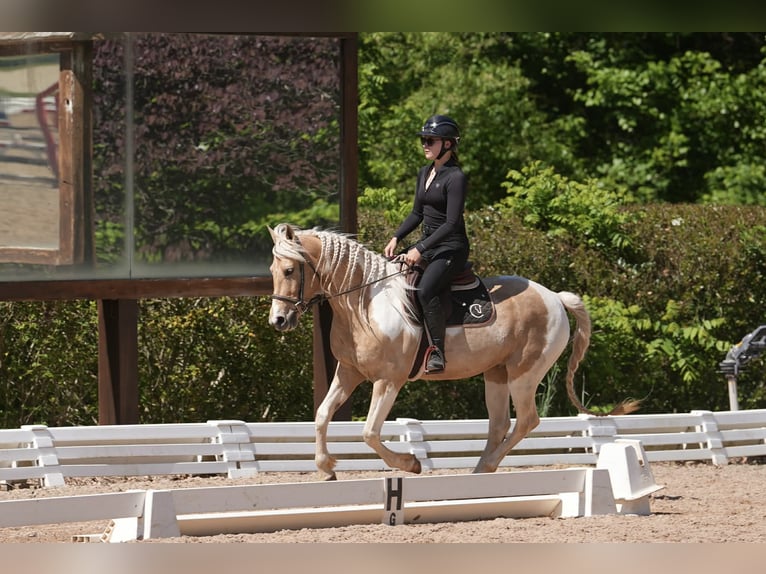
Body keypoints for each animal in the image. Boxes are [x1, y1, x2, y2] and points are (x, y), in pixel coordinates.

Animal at [267, 223, 638, 480]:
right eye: (272, 272)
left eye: (289, 270)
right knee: (500, 424)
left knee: (527, 421)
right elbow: (322, 415)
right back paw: (480, 469)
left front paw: (411, 464)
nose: (279, 320)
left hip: (524, 375)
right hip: (496, 375)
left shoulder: (388, 381)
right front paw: (326, 467)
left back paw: (486, 466)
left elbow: (369, 432)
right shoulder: (348, 371)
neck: (366, 303)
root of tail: (555, 298)